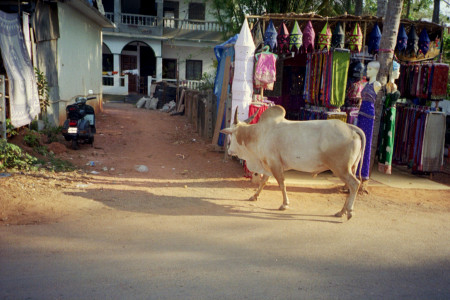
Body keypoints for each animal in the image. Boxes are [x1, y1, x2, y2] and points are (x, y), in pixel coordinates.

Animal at [221, 105, 366, 218]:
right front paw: (254, 196)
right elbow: (263, 182)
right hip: (351, 168)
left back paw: (348, 212)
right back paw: (342, 211)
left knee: (354, 184)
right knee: (350, 187)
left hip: (340, 168)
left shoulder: (275, 164)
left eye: (231, 134)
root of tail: (351, 128)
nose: (229, 150)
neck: (259, 134)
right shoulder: (269, 165)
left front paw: (285, 204)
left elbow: (281, 184)